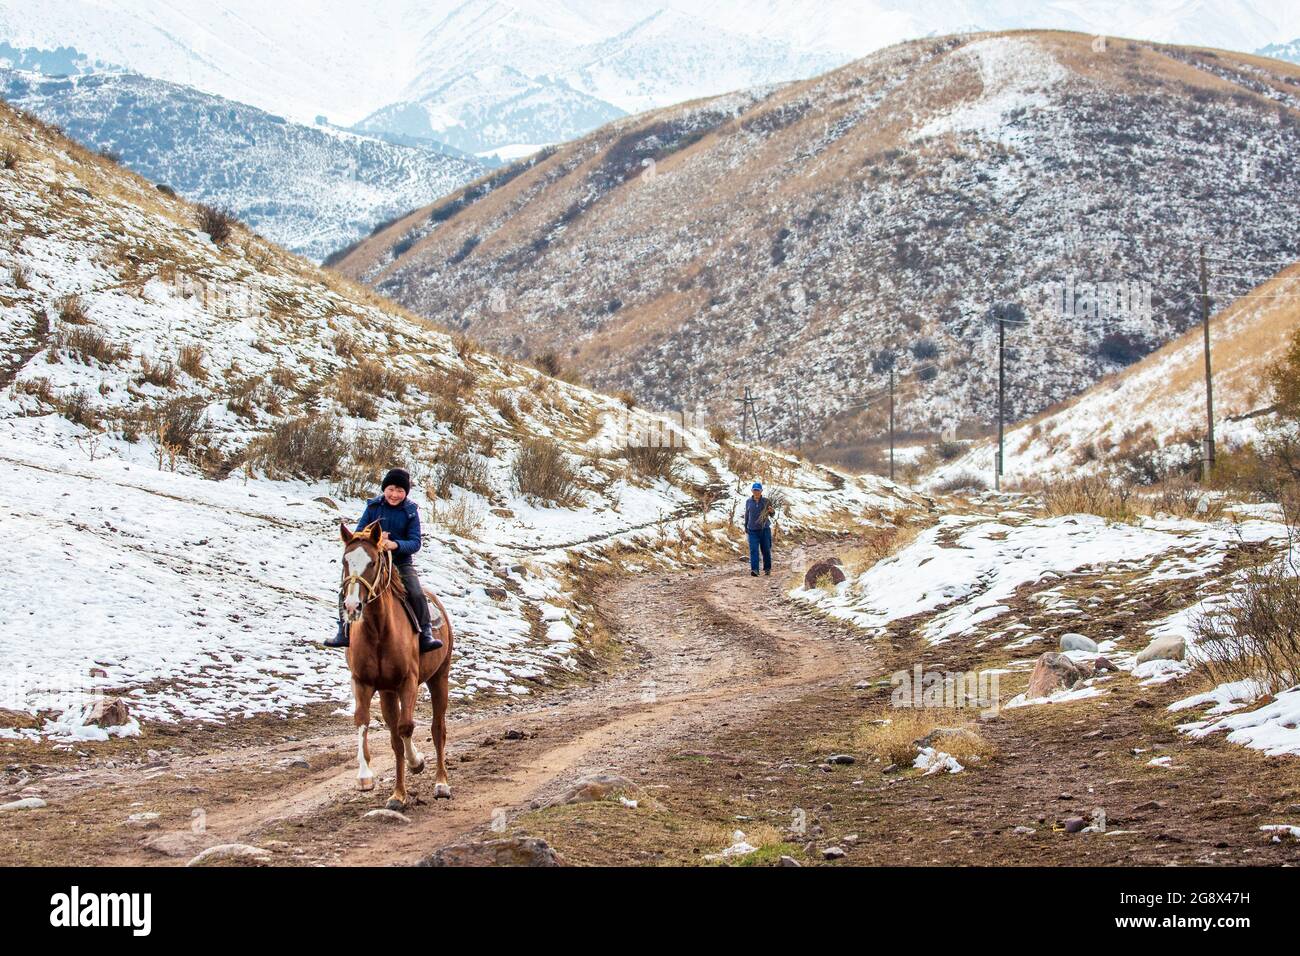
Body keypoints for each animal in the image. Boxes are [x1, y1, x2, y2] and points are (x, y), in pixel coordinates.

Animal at [338, 520, 454, 811]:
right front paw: (368, 779)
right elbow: (365, 723)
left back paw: (441, 783)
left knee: (438, 729)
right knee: (395, 736)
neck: (379, 631)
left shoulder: (408, 682)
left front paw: (417, 763)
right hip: (388, 692)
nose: (352, 606)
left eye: (372, 562)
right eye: (345, 560)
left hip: (439, 678)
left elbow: (406, 728)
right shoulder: (364, 682)